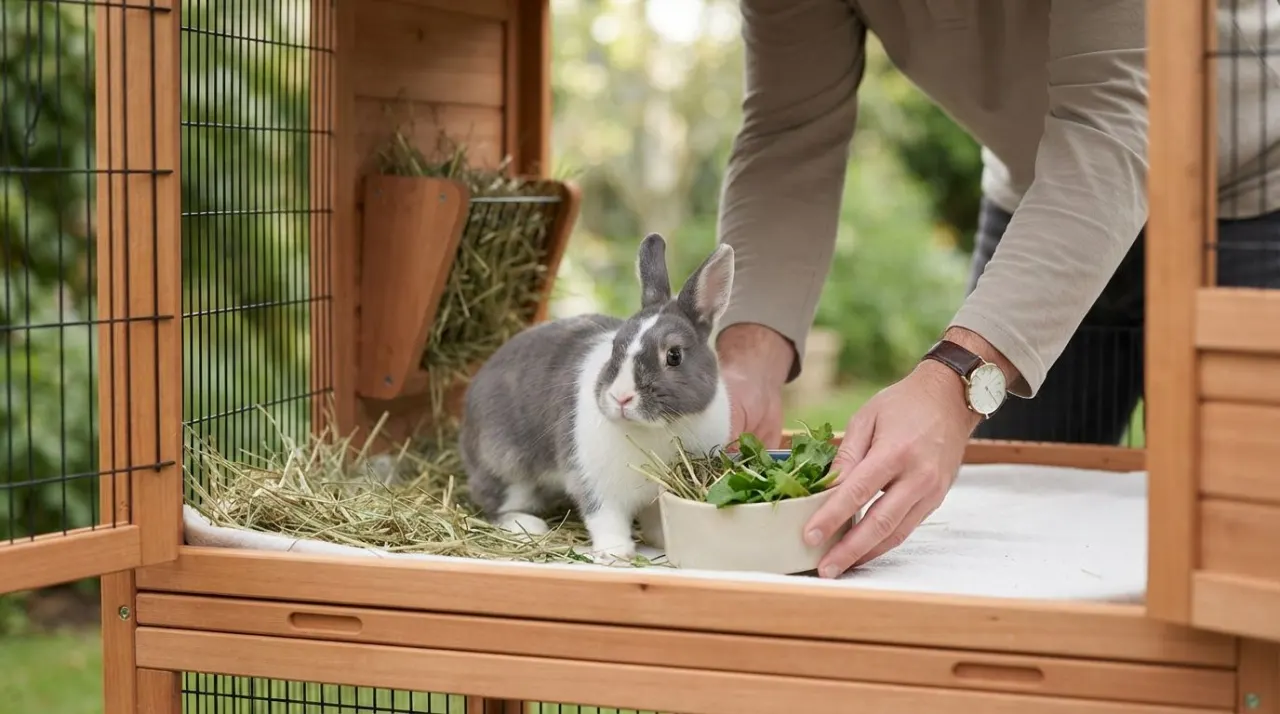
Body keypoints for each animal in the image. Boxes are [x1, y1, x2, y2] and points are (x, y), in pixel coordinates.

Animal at [458, 233, 735, 563]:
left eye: (674, 355)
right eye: (616, 345)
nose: (621, 398)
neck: (659, 428)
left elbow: (658, 518)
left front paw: (659, 541)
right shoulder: (594, 485)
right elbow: (605, 518)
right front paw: (617, 553)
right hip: (506, 468)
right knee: (492, 505)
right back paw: (528, 526)